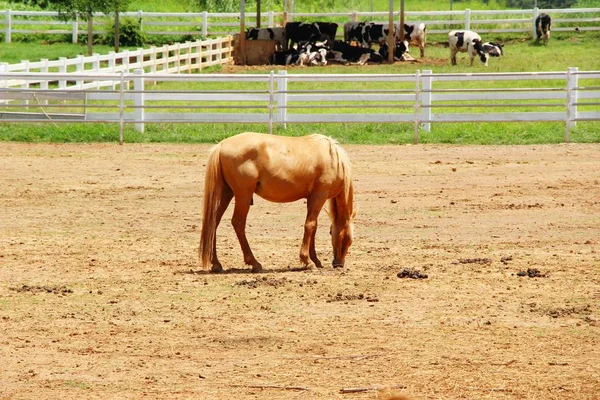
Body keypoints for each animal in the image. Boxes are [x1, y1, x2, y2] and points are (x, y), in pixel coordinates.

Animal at [199, 133, 354, 274]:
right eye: (345, 238)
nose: (339, 264)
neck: (332, 158)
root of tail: (221, 145)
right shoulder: (319, 195)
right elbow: (309, 225)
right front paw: (308, 261)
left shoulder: (311, 198)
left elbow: (313, 227)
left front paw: (315, 260)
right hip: (243, 194)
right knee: (238, 223)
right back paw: (254, 263)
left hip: (227, 193)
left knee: (213, 222)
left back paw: (217, 264)